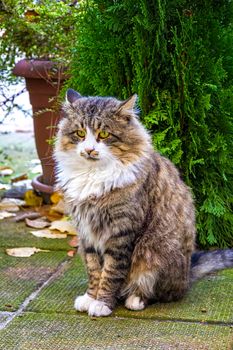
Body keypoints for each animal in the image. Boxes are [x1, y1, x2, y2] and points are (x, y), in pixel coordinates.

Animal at [54, 88, 233, 318]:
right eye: (80, 134)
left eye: (104, 135)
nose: (89, 150)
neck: (93, 175)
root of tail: (187, 275)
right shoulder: (86, 234)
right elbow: (94, 270)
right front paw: (90, 297)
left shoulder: (121, 233)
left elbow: (110, 273)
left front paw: (102, 303)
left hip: (155, 253)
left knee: (159, 293)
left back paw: (135, 299)